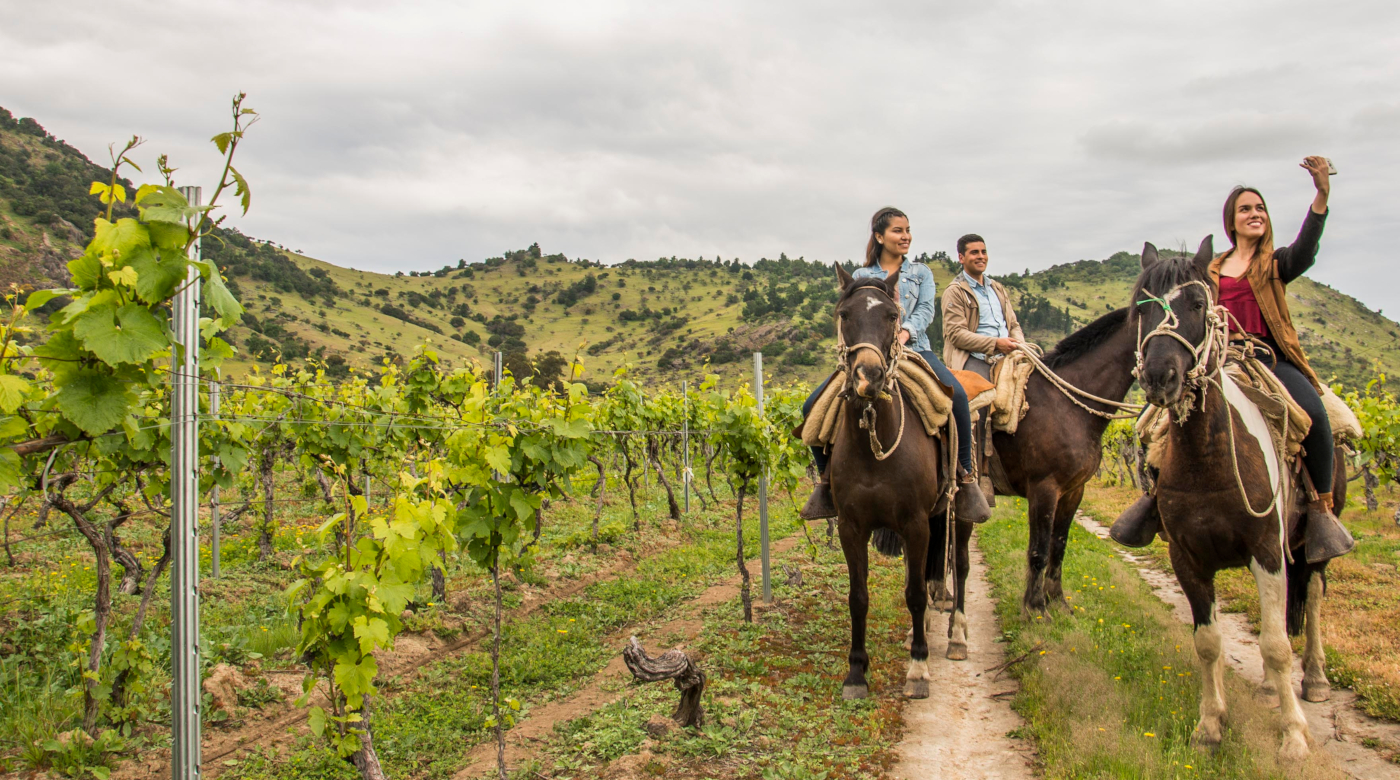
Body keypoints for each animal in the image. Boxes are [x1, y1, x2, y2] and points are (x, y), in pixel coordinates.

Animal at [1125, 238, 1344, 761]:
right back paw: (1267, 689)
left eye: (1197, 304)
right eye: (1141, 308)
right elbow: (1209, 642)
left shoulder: (1267, 550)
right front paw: (1210, 726)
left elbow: (1276, 646)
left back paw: (1316, 678)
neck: (1209, 460)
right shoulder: (1186, 557)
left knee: (1313, 597)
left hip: (1311, 542)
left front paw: (1293, 736)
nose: (1160, 377)